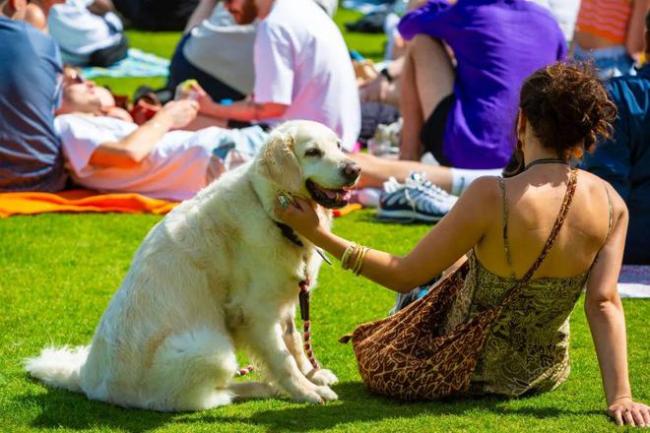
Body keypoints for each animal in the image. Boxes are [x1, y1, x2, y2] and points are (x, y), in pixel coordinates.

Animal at [25, 120, 360, 410]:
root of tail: (87, 380)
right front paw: (306, 390)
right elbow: (283, 358)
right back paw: (262, 388)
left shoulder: (286, 299)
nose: (354, 169)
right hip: (212, 350)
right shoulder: (255, 311)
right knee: (215, 395)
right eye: (312, 152)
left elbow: (295, 342)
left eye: (339, 145)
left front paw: (313, 374)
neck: (269, 208)